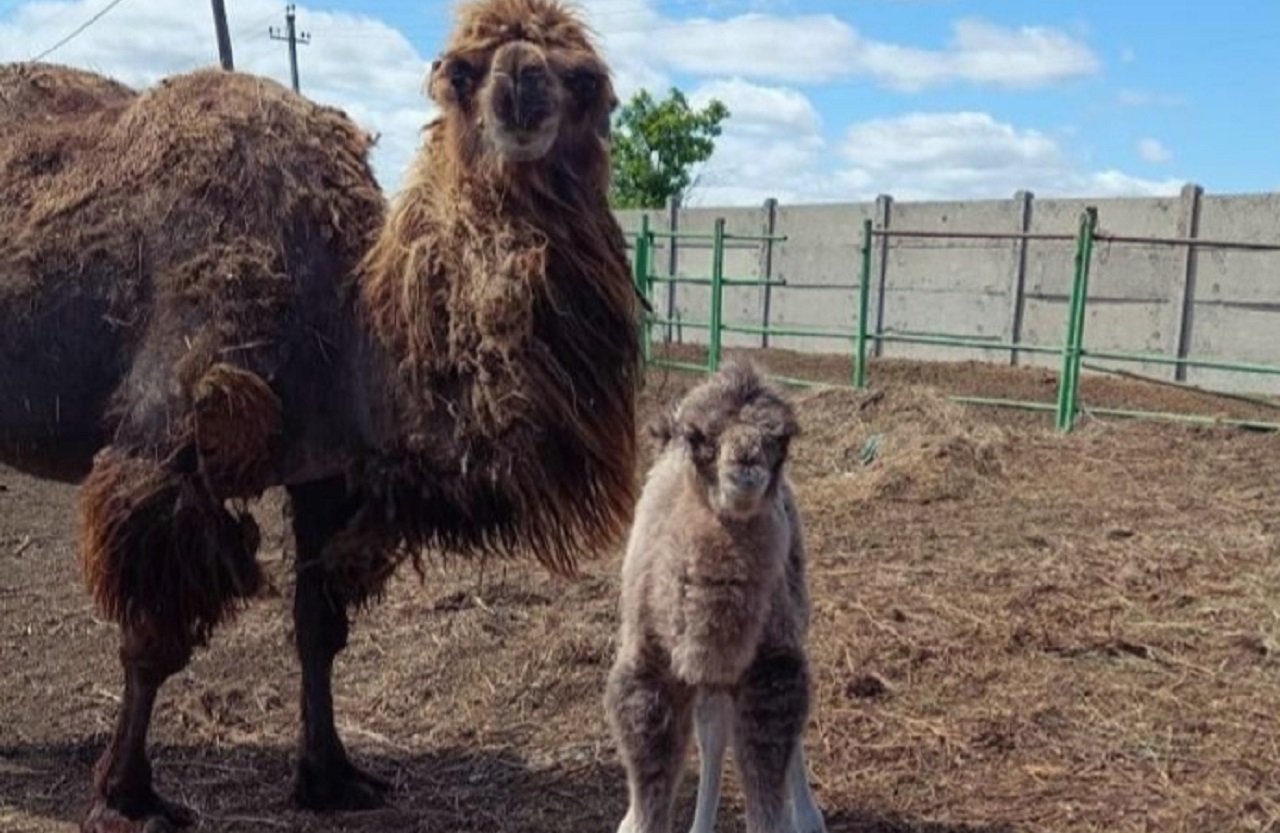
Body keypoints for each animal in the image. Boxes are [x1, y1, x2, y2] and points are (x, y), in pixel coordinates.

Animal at [0, 0, 640, 829]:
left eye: (589, 82)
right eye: (460, 73)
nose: (523, 85)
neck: (344, 318)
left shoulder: (327, 469)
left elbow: (320, 628)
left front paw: (333, 776)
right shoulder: (167, 448)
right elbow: (153, 639)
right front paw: (128, 795)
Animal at [601, 360, 824, 833]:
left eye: (782, 439)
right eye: (698, 436)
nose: (746, 461)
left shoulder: (770, 666)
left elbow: (767, 773)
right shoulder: (647, 670)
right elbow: (650, 781)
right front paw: (634, 819)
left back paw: (807, 816)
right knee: (712, 726)